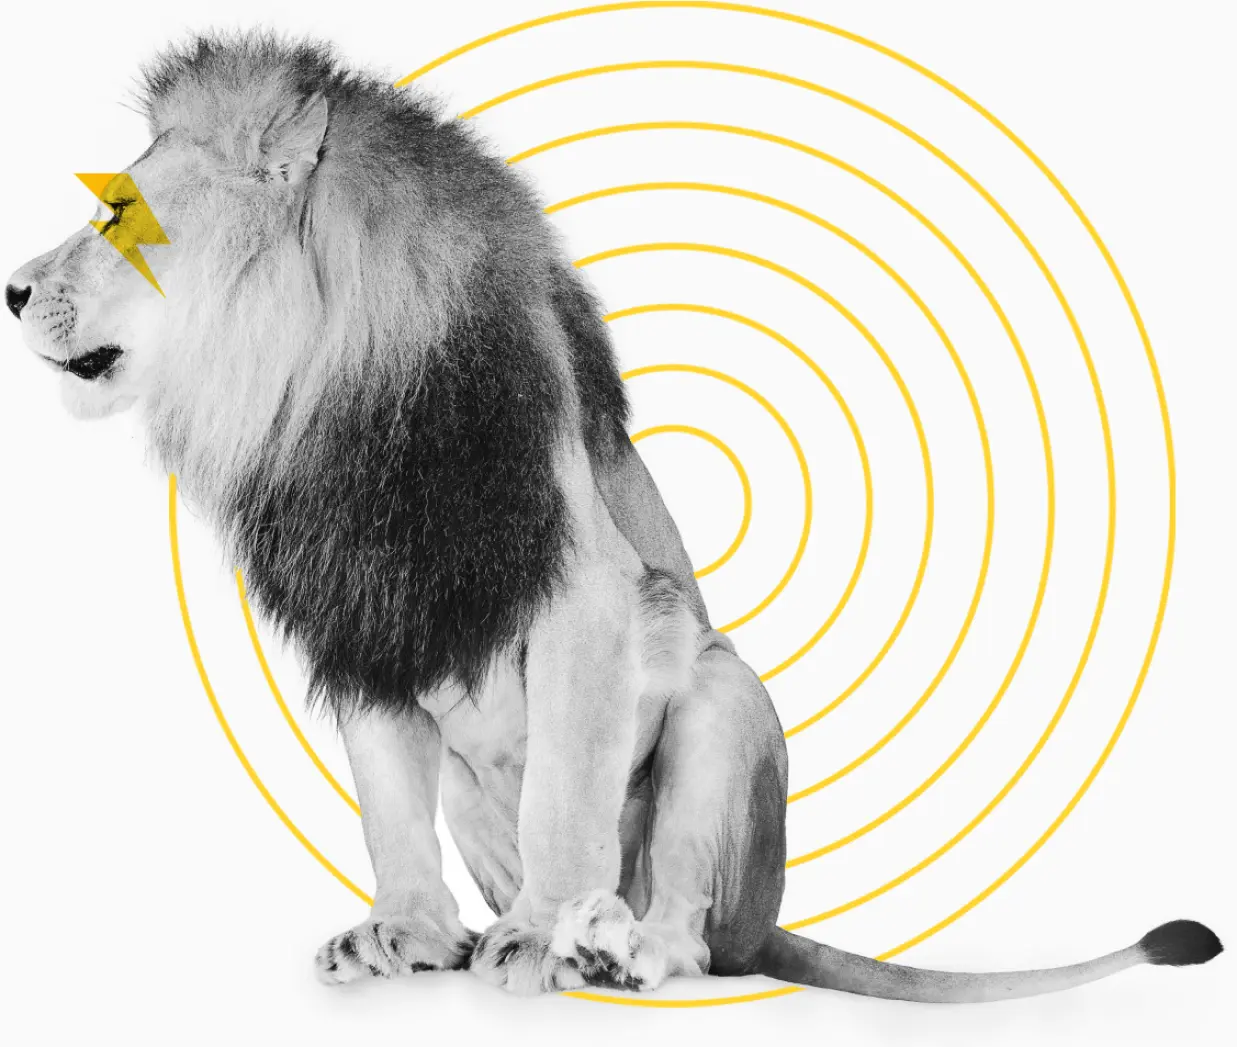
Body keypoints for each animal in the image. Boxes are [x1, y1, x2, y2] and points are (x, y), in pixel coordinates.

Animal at [5, 32, 1221, 1000]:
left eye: (115, 211)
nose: (12, 289)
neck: (317, 396)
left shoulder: (585, 598)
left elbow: (566, 790)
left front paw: (540, 937)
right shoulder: (372, 618)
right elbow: (386, 806)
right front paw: (407, 932)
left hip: (723, 703)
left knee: (694, 934)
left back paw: (606, 944)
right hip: (473, 780)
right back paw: (481, 935)